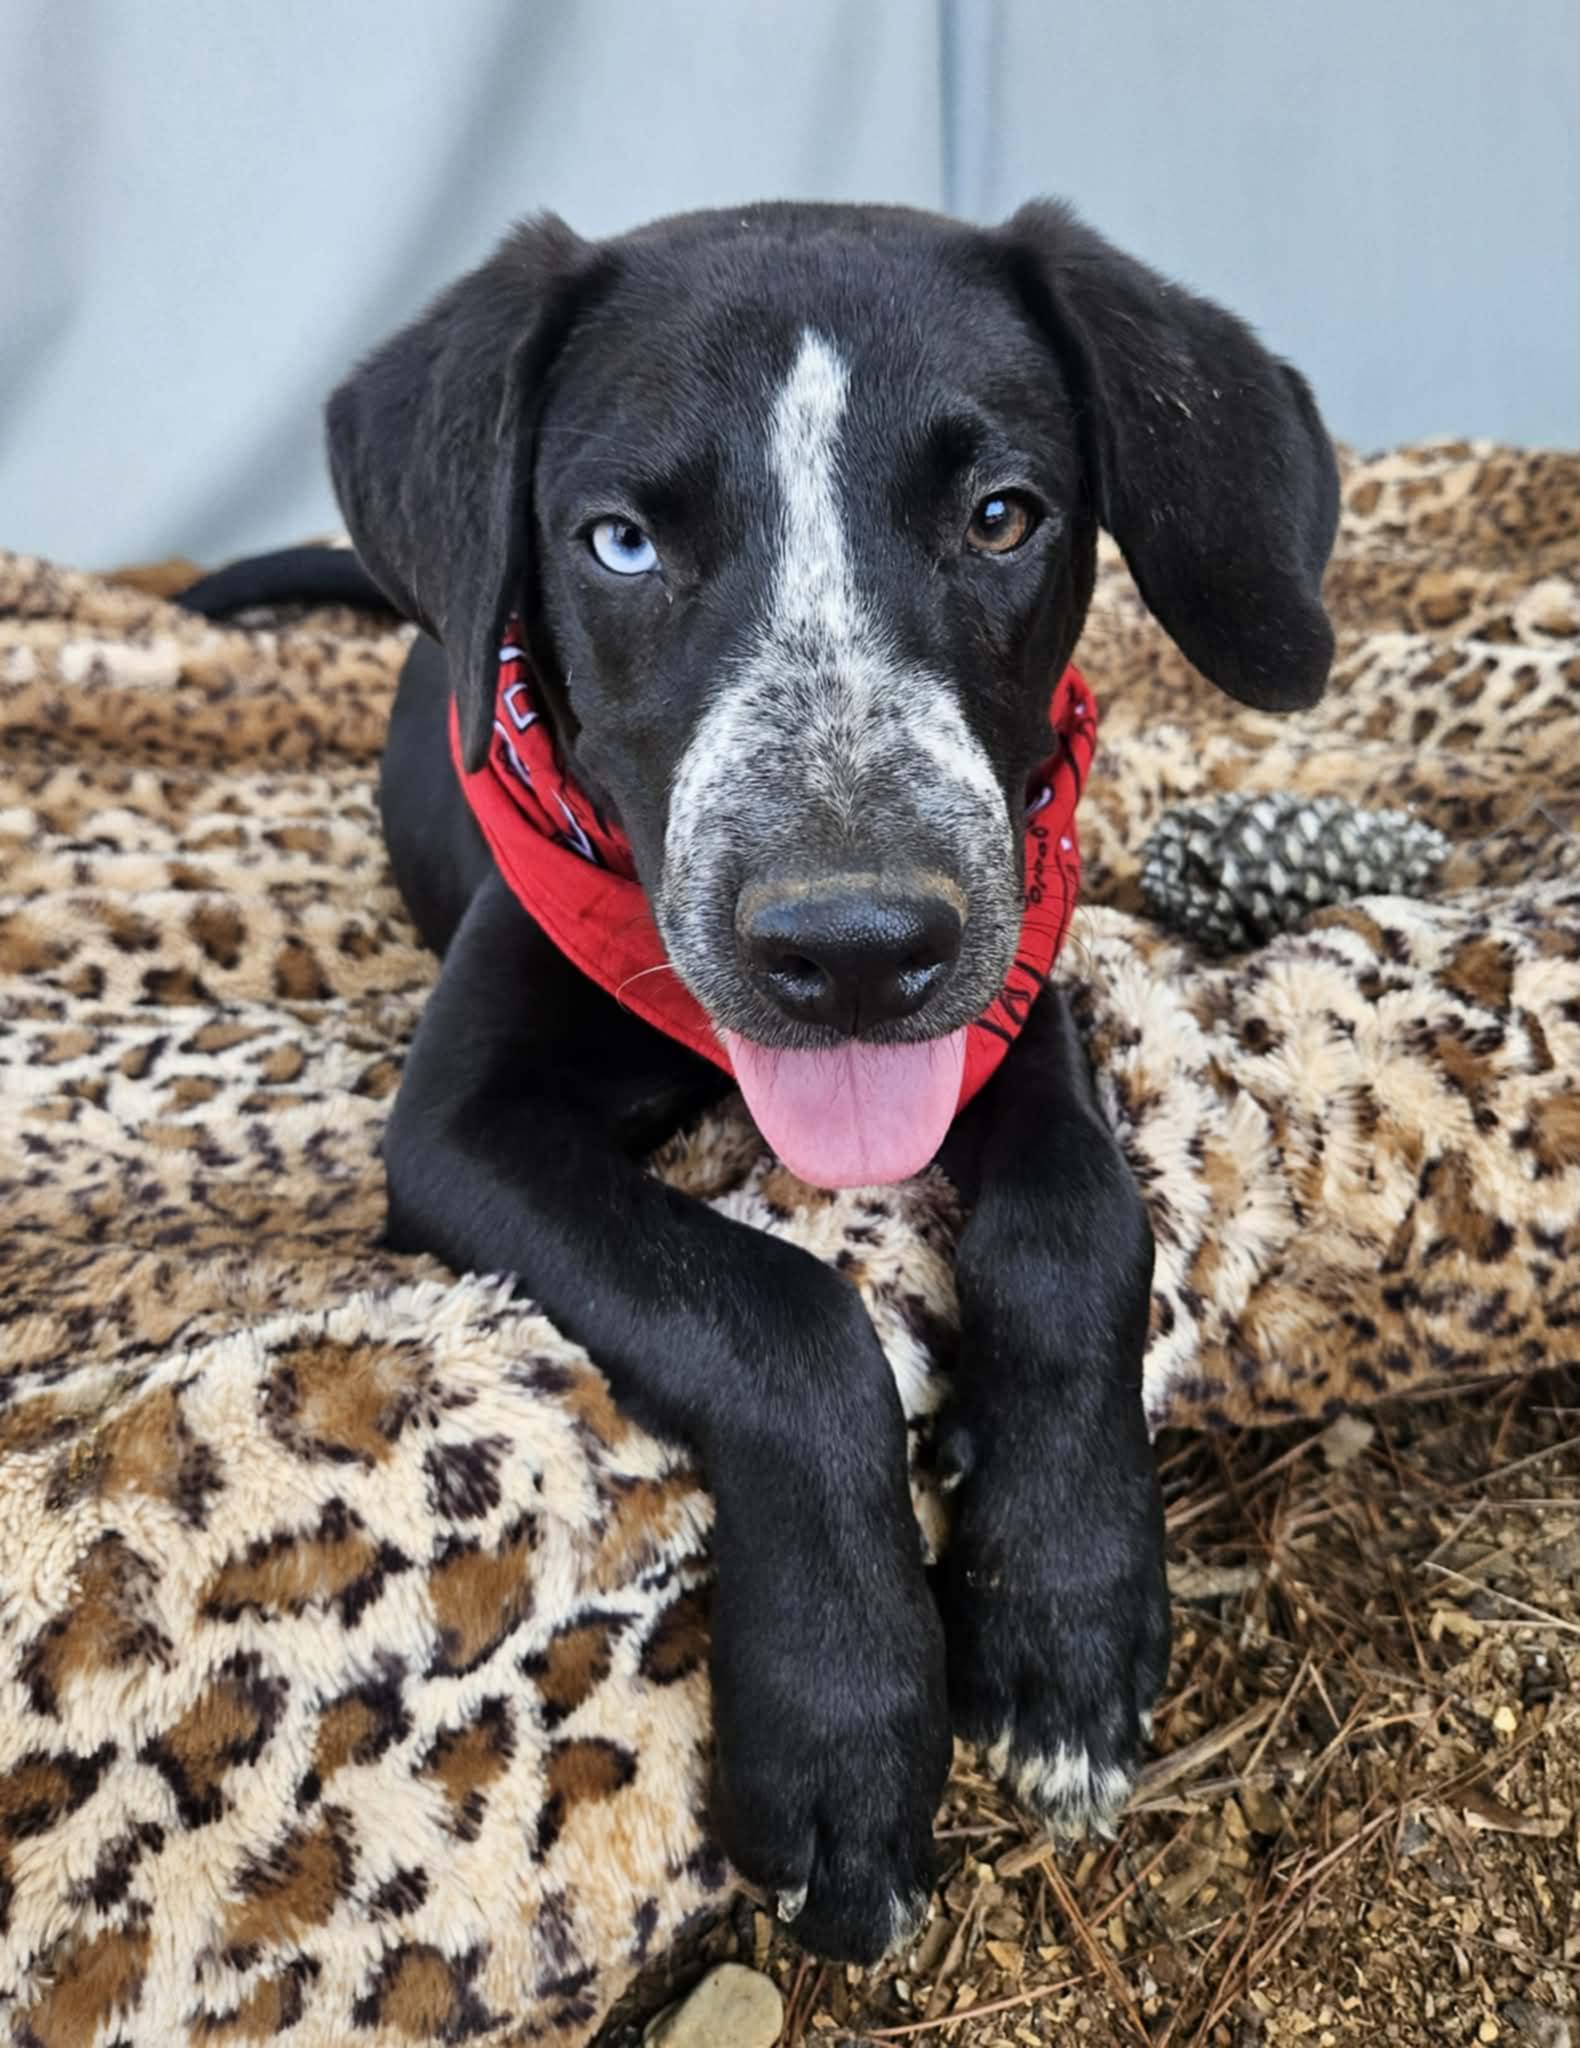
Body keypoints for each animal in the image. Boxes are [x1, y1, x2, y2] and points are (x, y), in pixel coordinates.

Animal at [180, 197, 1339, 1963]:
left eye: (1002, 518)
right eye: (619, 544)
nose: (854, 950)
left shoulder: (1016, 973)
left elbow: (1081, 1228)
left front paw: (1066, 1608)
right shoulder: (460, 1135)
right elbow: (776, 1314)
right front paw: (846, 1717)